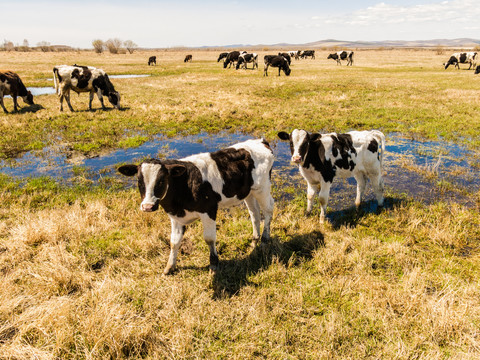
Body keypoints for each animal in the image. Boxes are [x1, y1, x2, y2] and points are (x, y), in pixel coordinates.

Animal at [116, 139, 274, 274]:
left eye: (161, 181)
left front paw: (214, 264)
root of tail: (260, 141)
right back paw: (254, 240)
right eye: (139, 181)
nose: (147, 207)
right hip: (249, 192)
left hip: (262, 188)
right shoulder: (175, 217)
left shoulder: (209, 210)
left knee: (268, 210)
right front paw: (169, 267)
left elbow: (209, 239)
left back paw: (264, 240)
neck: (184, 184)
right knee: (254, 213)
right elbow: (174, 242)